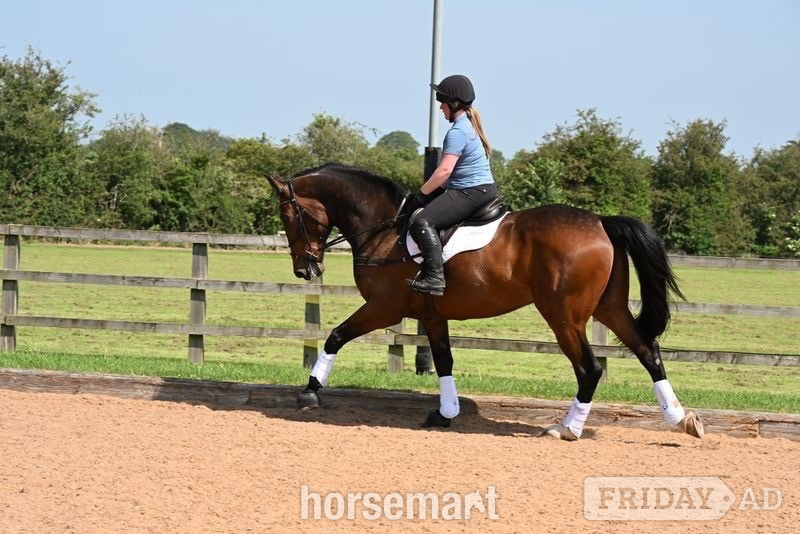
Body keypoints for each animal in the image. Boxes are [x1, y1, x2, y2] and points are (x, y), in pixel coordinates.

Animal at [267, 163, 704, 440]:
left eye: (289, 217)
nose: (305, 270)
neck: (384, 229)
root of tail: (601, 222)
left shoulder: (383, 307)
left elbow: (335, 337)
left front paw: (310, 391)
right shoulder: (431, 313)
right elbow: (443, 361)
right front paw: (445, 413)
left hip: (564, 316)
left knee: (590, 368)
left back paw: (568, 429)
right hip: (608, 308)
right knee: (648, 351)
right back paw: (681, 419)